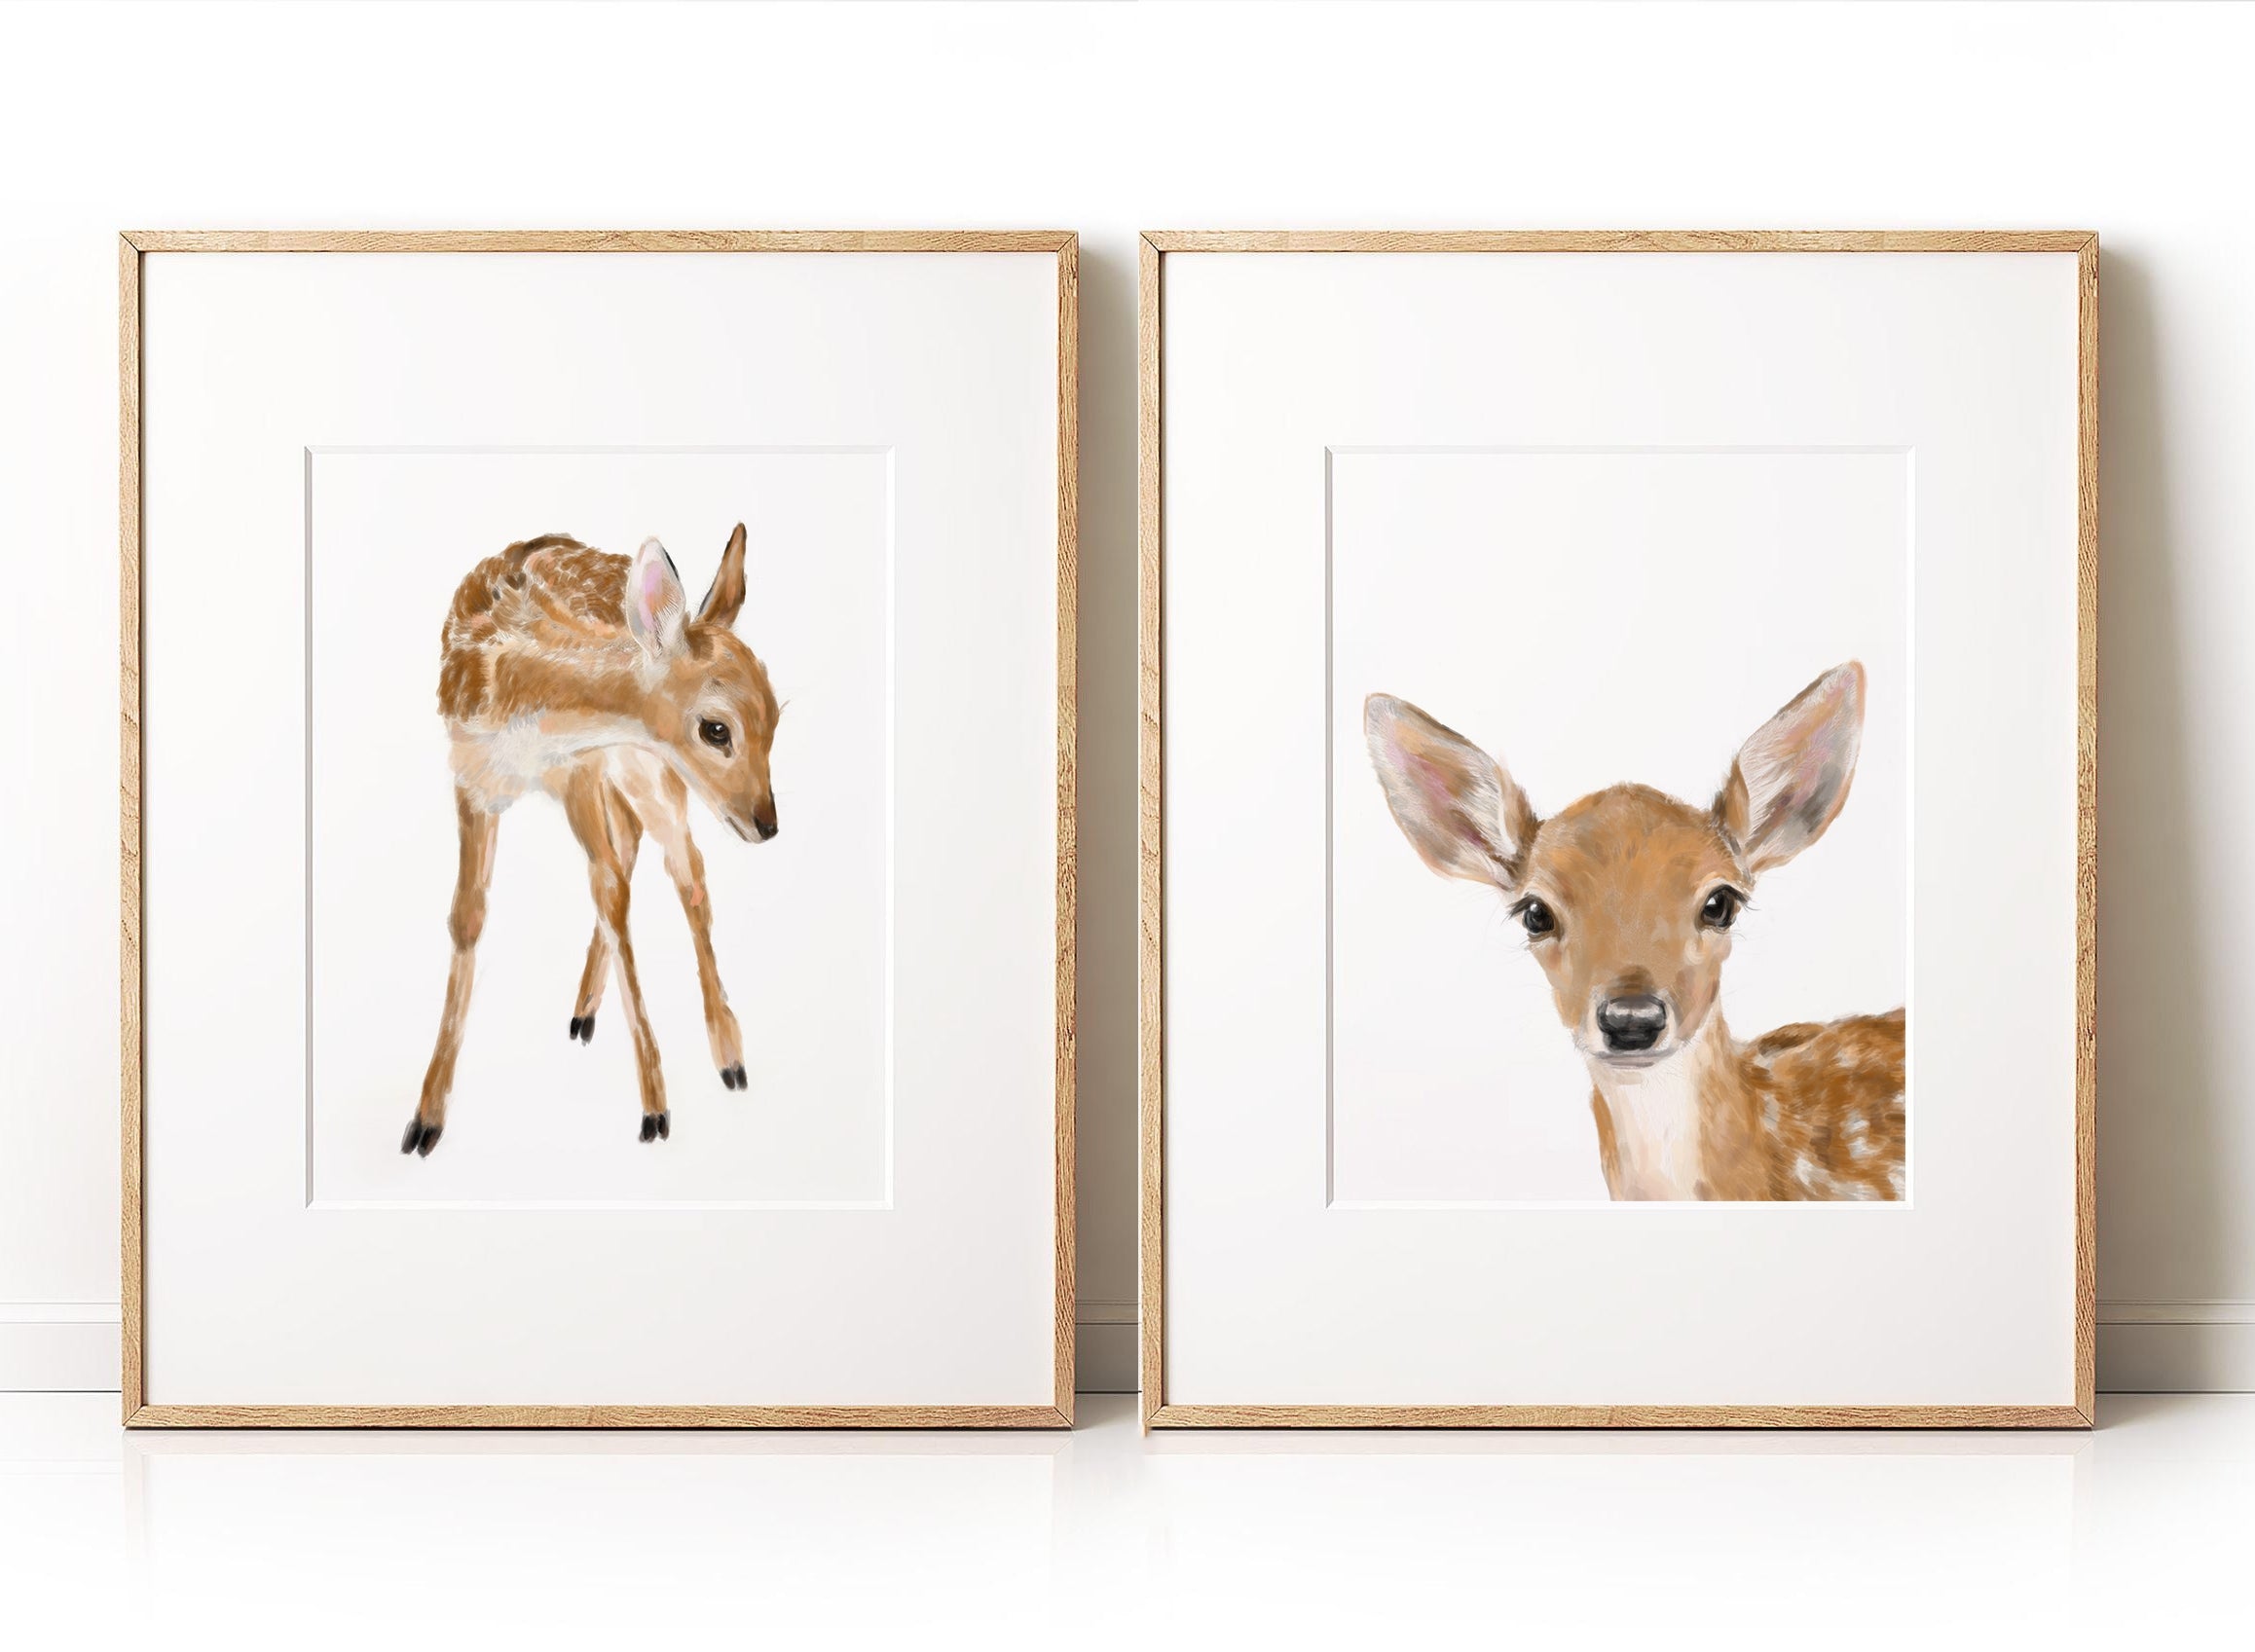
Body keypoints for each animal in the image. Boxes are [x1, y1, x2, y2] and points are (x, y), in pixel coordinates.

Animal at [401, 525, 781, 1157]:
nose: (767, 823)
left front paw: (656, 1109)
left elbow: (613, 893)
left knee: (684, 871)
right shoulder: (474, 777)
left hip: (645, 772)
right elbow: (467, 917)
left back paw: (729, 1057)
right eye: (716, 728)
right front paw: (425, 1118)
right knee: (632, 854)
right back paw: (584, 1012)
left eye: (777, 720)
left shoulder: (583, 764)